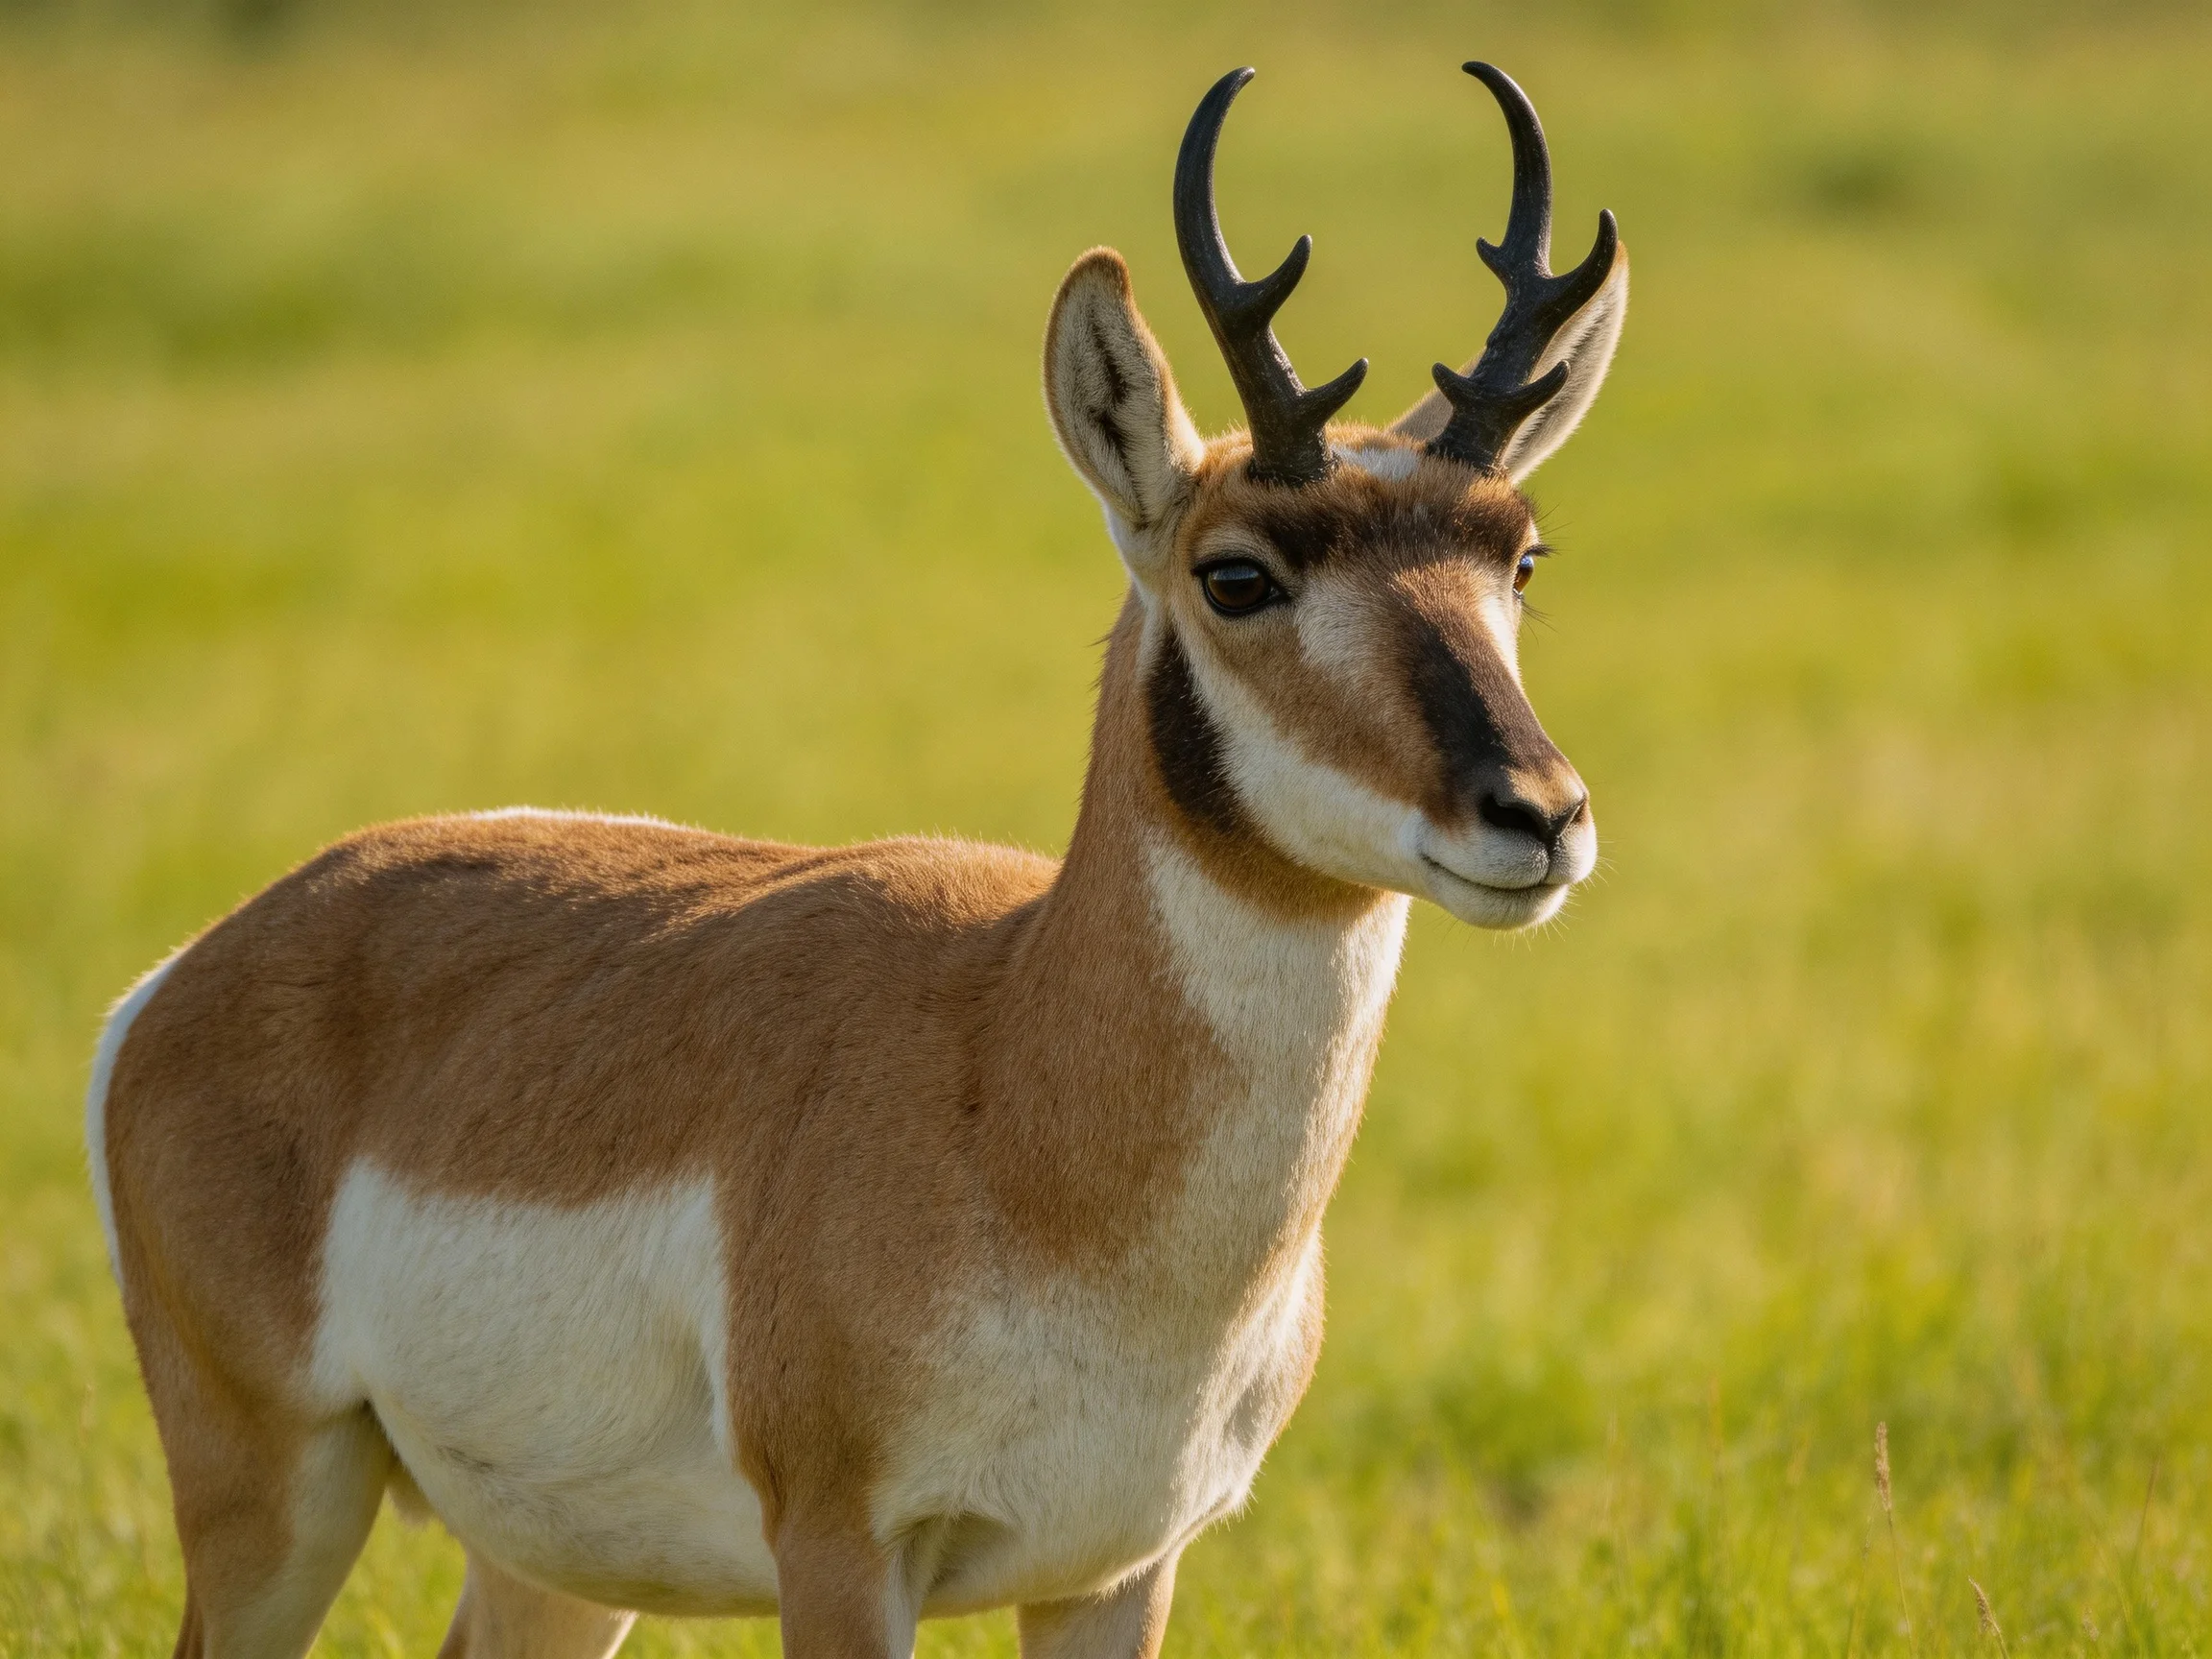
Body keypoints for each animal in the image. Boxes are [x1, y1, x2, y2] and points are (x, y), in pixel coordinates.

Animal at [87, 60, 1627, 1659]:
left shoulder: (1116, 1571)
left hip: (552, 1569)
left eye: (1518, 557)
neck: (1014, 1075)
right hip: (274, 1491)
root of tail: (189, 974)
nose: (1538, 815)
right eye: (1238, 574)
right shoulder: (839, 1549)